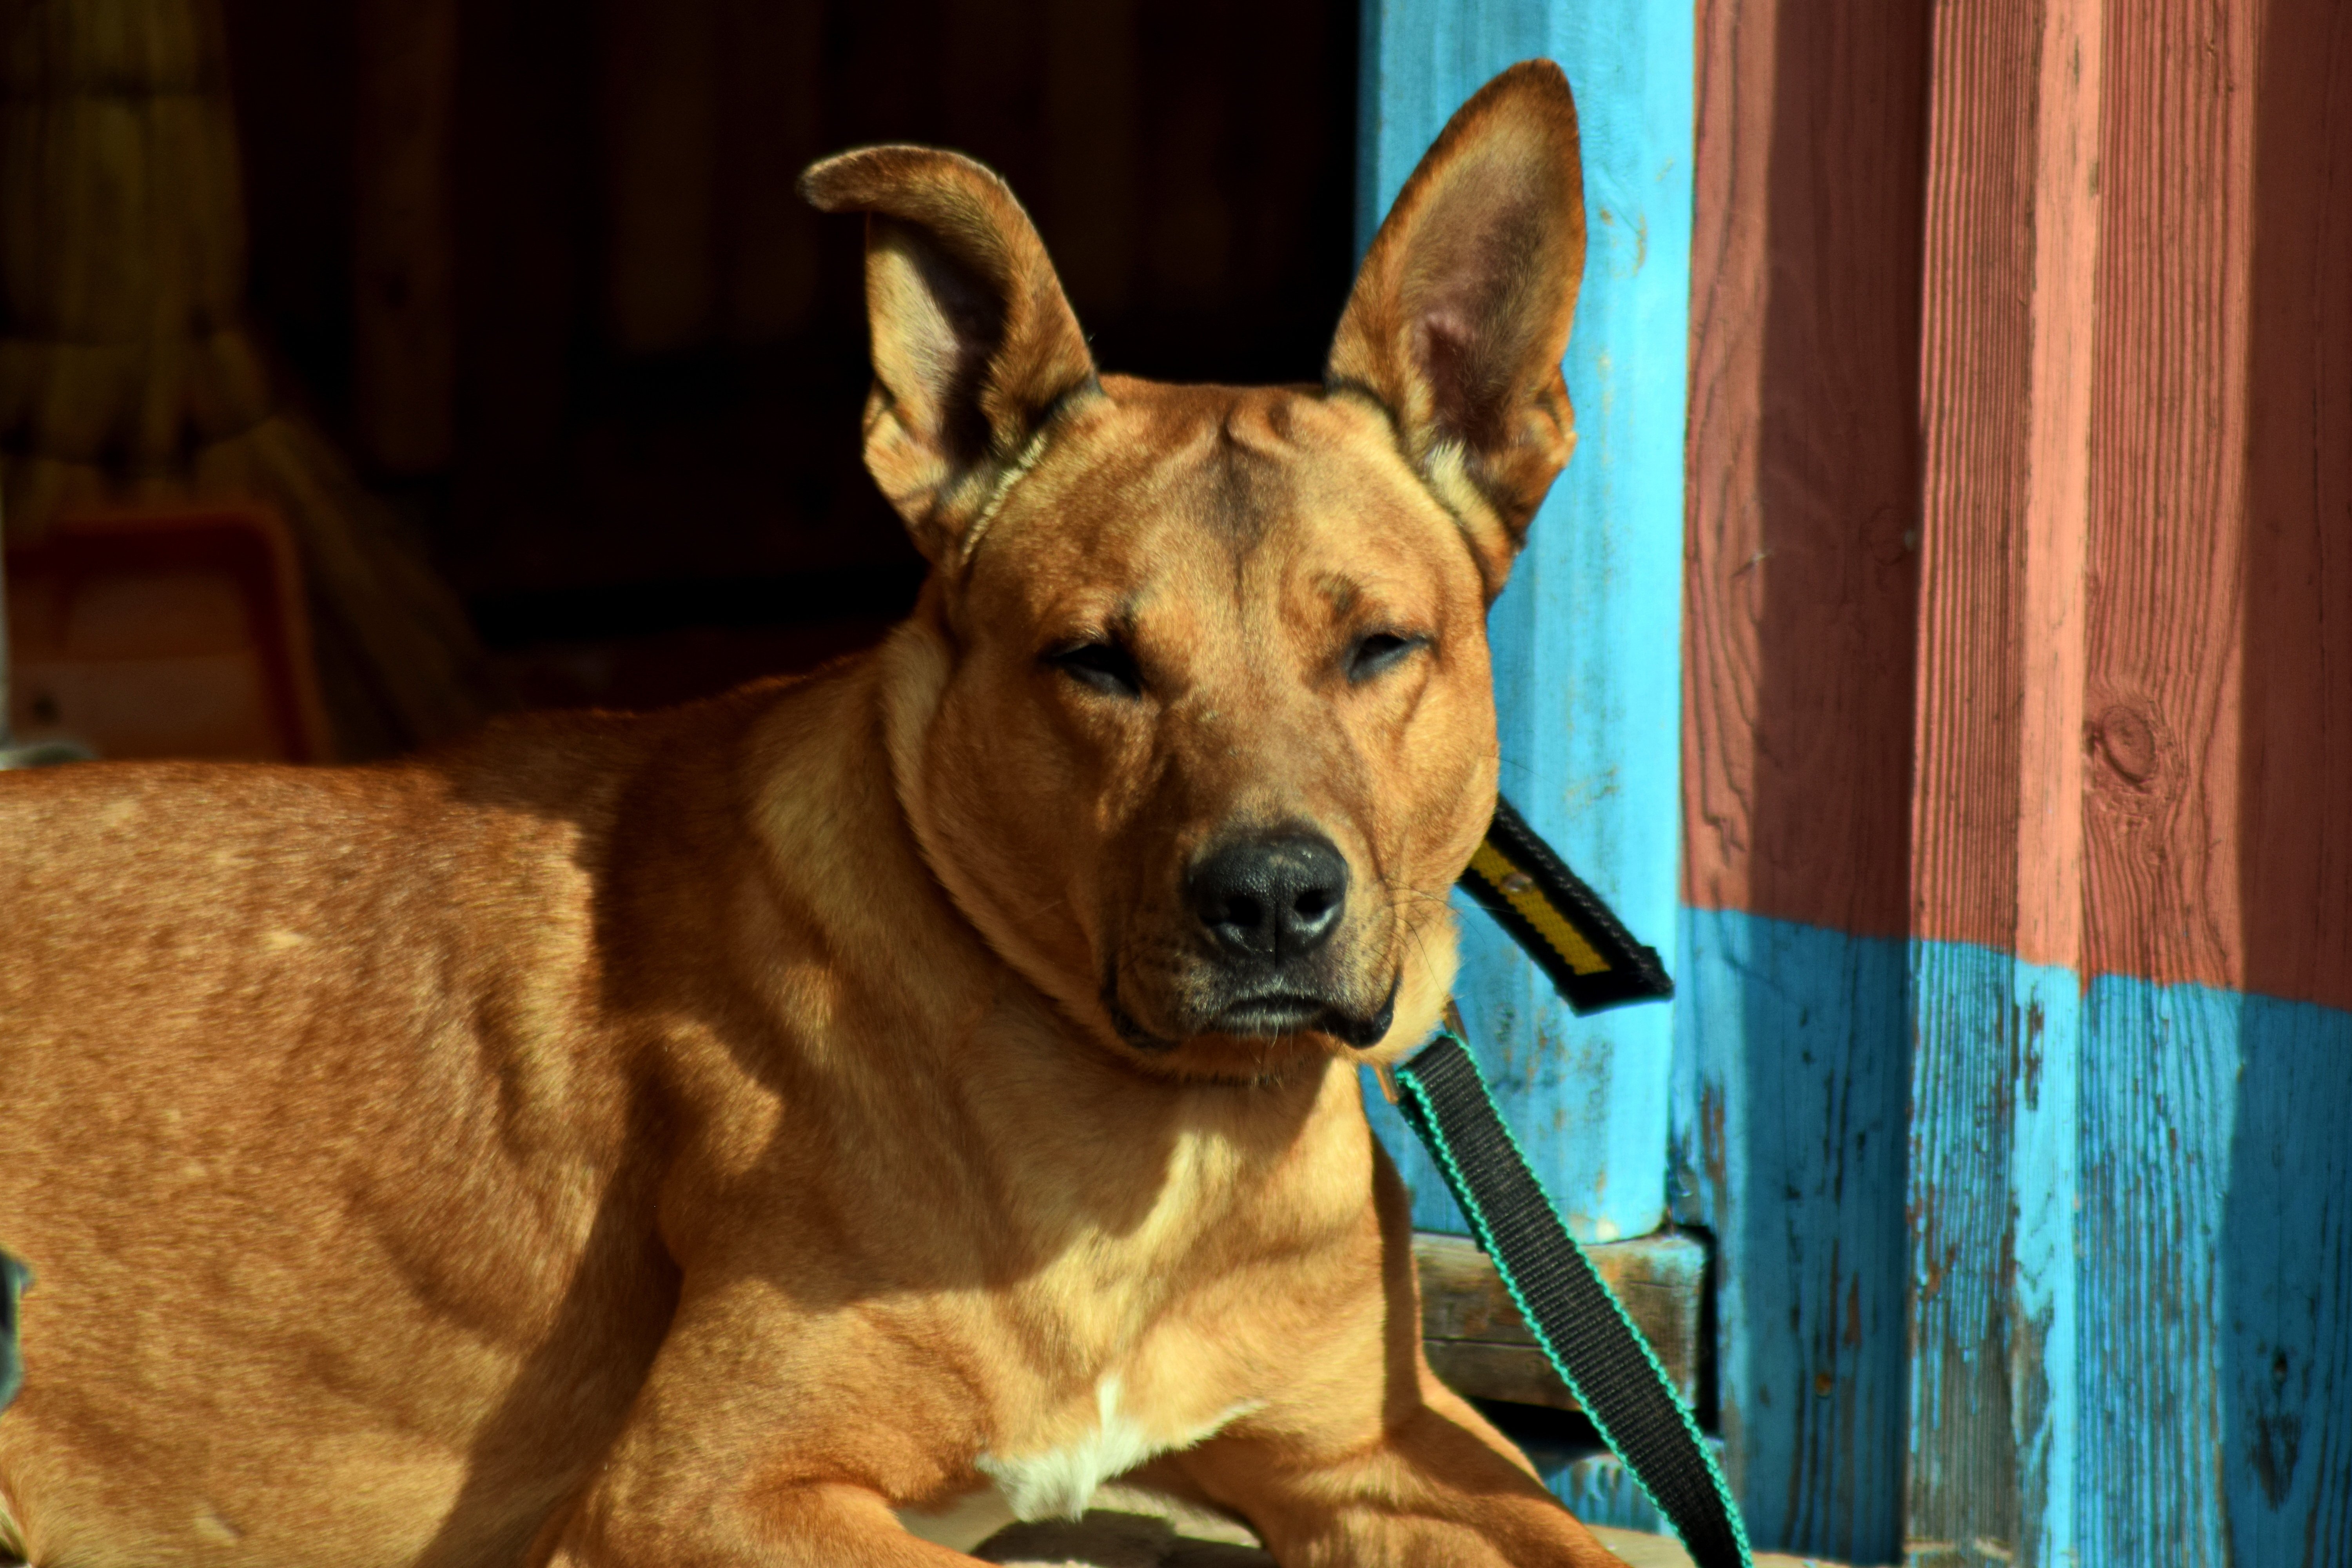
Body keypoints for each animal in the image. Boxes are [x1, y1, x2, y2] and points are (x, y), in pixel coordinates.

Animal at [0, 61, 1618, 1568]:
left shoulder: (1385, 1451)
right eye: (1094, 661)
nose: (1272, 899)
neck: (1149, 1128)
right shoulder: (702, 1493)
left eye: (1380, 647)